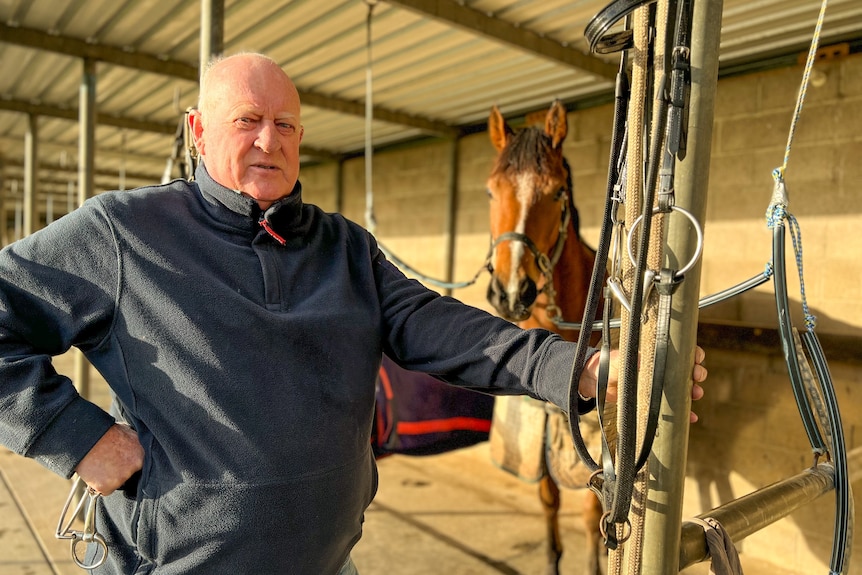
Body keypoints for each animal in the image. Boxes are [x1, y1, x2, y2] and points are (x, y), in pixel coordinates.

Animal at [486, 101, 608, 575]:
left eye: (556, 192)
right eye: (490, 192)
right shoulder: (540, 425)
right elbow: (548, 498)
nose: (510, 291)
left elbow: (593, 511)